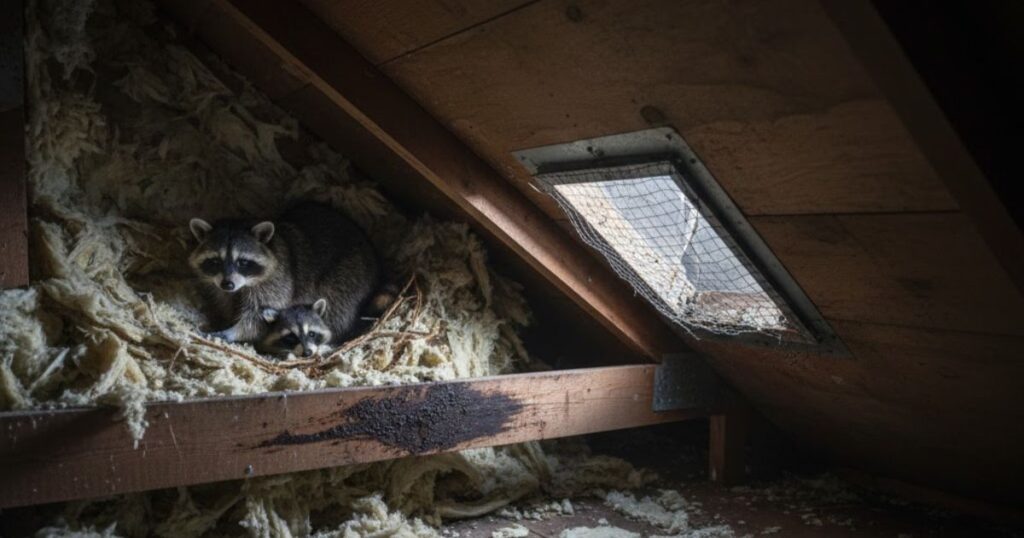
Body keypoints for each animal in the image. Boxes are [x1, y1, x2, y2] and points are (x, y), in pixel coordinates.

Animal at [188, 201, 380, 343]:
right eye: (215, 261)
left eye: (243, 262)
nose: (228, 284)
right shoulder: (220, 286)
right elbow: (226, 302)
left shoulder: (277, 281)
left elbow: (257, 319)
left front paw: (234, 332)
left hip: (349, 277)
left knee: (336, 309)